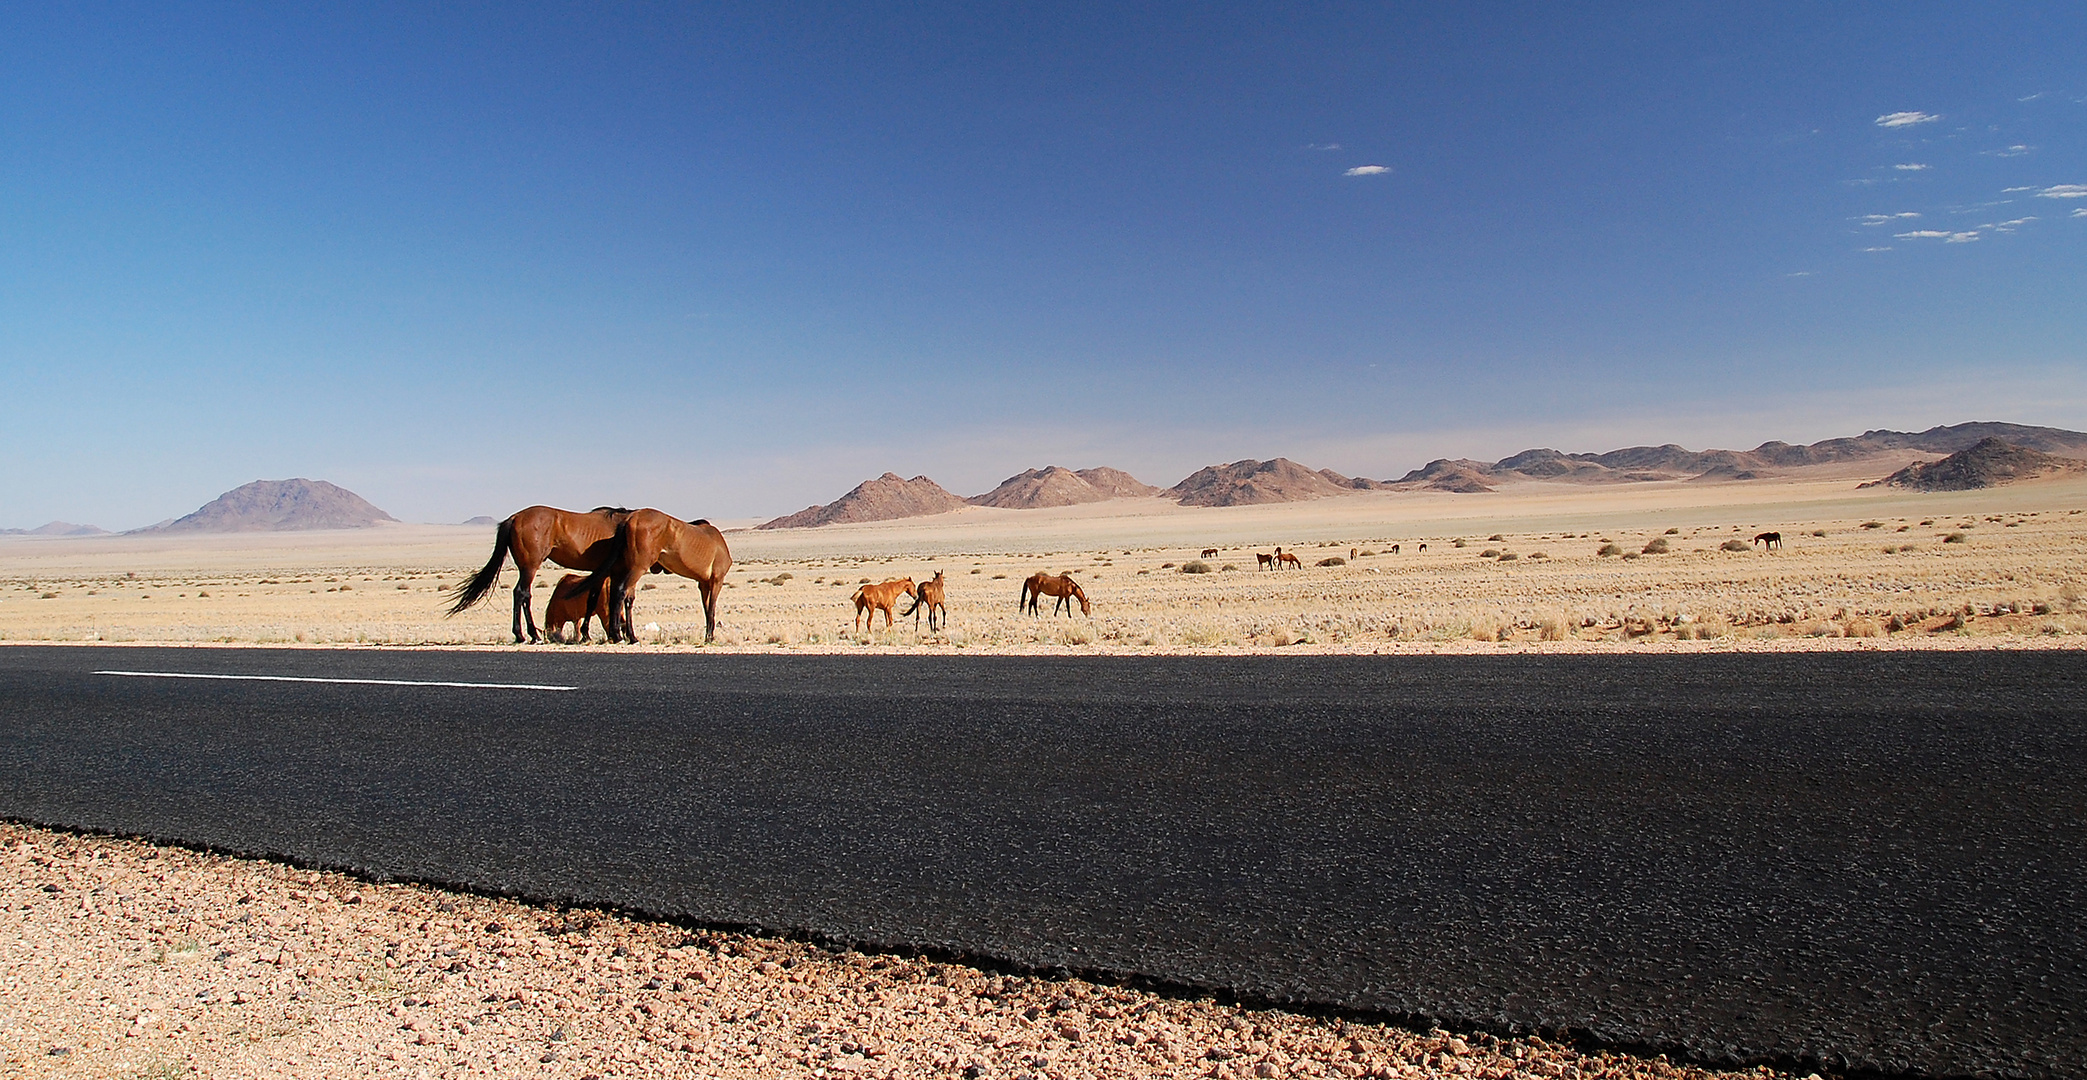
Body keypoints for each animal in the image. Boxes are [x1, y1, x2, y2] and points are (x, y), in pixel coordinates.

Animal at [444, 503, 630, 643]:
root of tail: (514, 518)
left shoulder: (603, 573)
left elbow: (596, 600)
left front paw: (594, 634)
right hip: (530, 567)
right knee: (521, 593)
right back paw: (528, 635)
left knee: (523, 595)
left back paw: (527, 634)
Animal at [596, 505, 734, 639]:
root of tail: (630, 518)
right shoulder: (717, 580)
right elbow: (711, 609)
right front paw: (710, 637)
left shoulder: (703, 584)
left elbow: (706, 609)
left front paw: (708, 635)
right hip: (637, 568)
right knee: (621, 592)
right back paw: (619, 635)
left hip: (624, 568)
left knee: (619, 595)